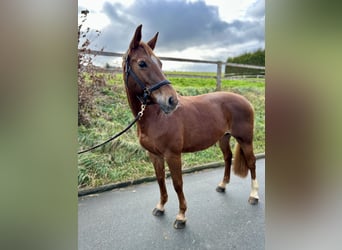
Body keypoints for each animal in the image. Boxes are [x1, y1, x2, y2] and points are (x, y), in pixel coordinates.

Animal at [123, 24, 260, 229]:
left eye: (160, 63)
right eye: (142, 63)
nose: (172, 100)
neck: (156, 117)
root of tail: (245, 100)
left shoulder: (173, 155)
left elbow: (177, 183)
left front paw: (181, 216)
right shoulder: (154, 155)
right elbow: (160, 180)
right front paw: (161, 206)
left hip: (245, 139)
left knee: (251, 162)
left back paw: (254, 195)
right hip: (224, 138)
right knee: (227, 158)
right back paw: (222, 185)